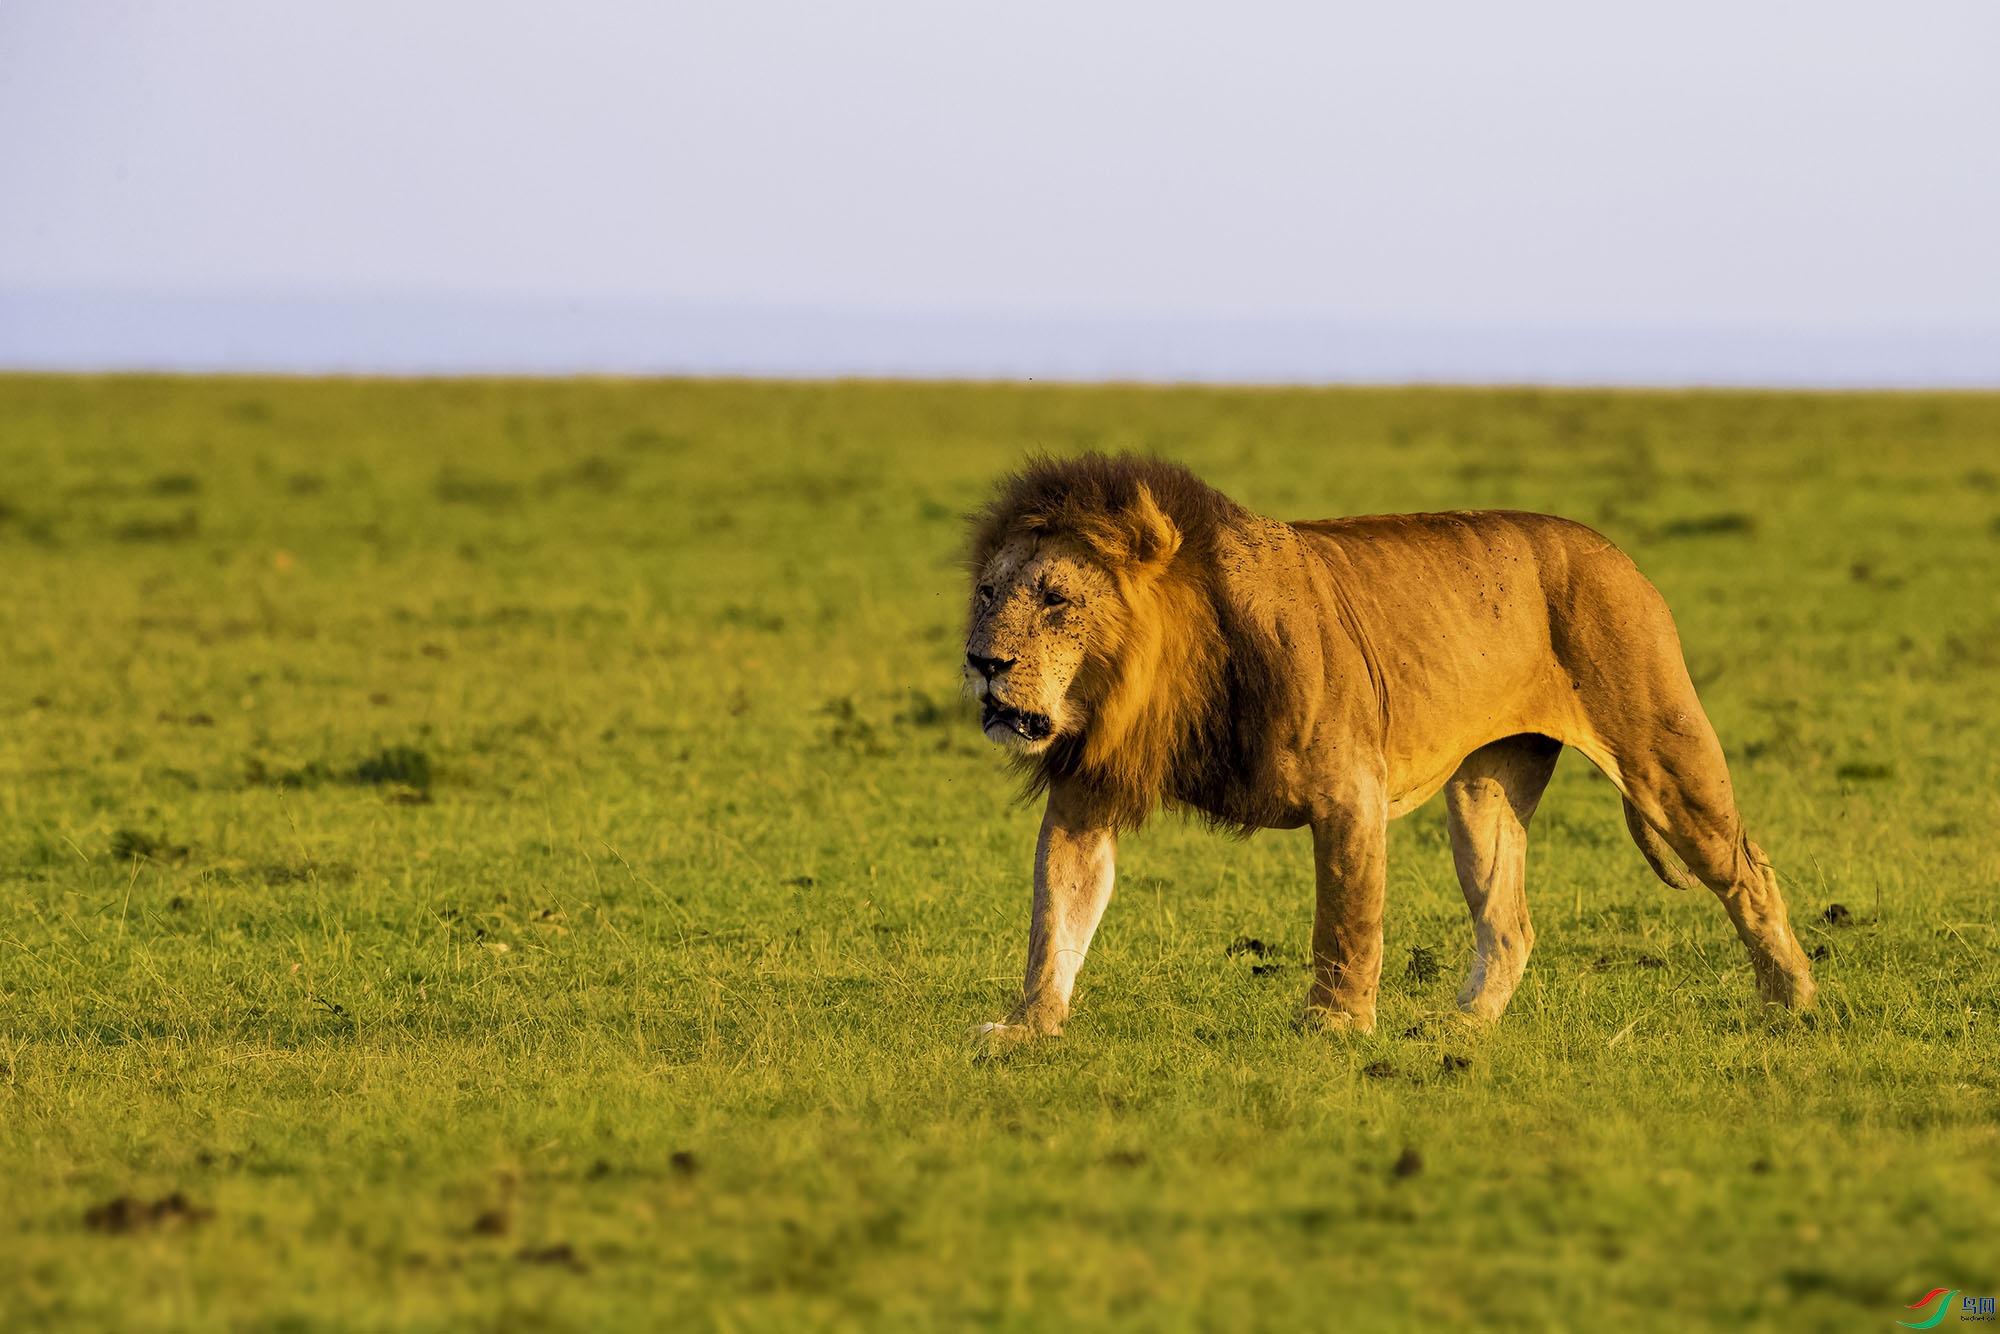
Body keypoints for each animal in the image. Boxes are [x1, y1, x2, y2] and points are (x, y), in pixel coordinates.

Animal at [960, 454, 1824, 1040]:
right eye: (989, 593)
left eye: (1057, 600)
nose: (981, 661)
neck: (1159, 681)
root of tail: (1614, 551)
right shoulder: (1086, 792)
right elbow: (1056, 918)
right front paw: (1024, 1029)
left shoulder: (1350, 791)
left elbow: (1344, 924)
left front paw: (1333, 1029)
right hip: (1483, 794)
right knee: (1509, 924)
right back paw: (1460, 1028)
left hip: (1661, 752)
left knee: (1748, 872)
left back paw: (1795, 1004)